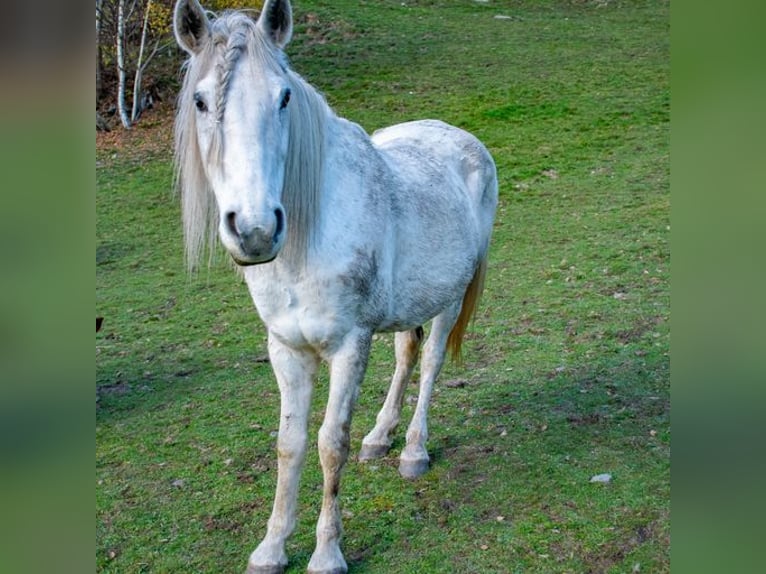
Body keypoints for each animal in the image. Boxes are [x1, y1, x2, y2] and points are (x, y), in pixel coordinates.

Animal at [173, 2, 498, 572]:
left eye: (283, 97)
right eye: (200, 100)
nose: (255, 230)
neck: (306, 243)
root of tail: (464, 140)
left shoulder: (349, 345)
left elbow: (330, 444)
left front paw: (327, 552)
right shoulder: (286, 348)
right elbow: (290, 443)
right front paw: (271, 547)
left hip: (448, 300)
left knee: (431, 362)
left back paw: (413, 450)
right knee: (407, 354)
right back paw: (380, 436)